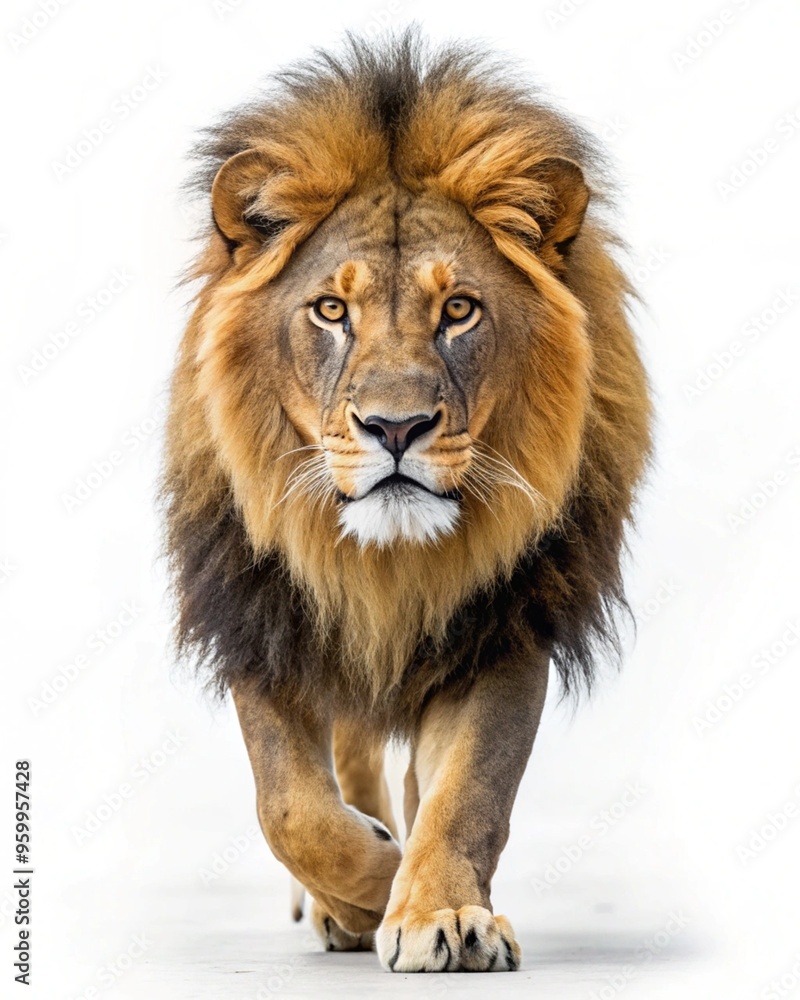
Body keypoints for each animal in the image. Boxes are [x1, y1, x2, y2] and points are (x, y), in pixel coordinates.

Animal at [163, 31, 651, 973]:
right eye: (330, 310)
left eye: (458, 309)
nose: (396, 427)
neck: (388, 563)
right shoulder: (262, 618)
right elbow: (291, 808)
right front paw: (368, 886)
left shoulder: (503, 628)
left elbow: (467, 792)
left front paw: (443, 911)